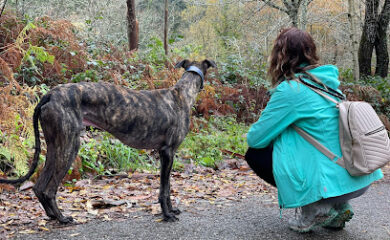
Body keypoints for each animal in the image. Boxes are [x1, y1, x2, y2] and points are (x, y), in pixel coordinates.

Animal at [0, 59, 216, 222]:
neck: (181, 94)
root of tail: (50, 94)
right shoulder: (167, 152)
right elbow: (164, 189)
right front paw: (167, 215)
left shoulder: (166, 154)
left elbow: (168, 187)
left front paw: (172, 210)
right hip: (70, 146)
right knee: (50, 189)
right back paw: (62, 218)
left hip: (55, 145)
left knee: (39, 186)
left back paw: (52, 216)